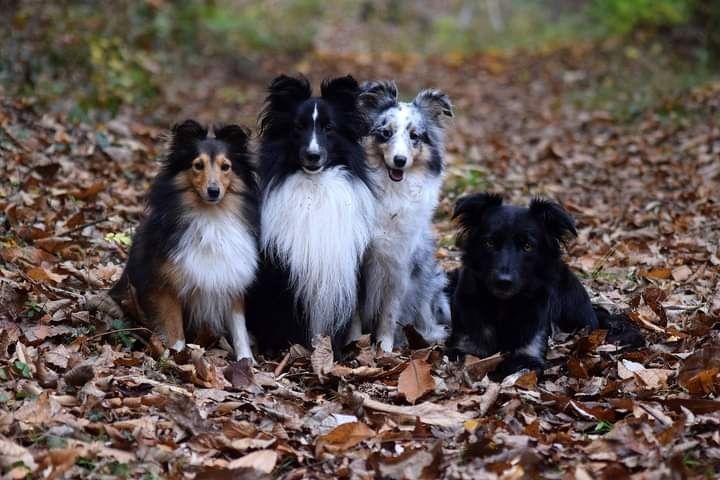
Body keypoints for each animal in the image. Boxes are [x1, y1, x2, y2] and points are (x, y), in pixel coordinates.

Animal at [450, 192, 640, 378]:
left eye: (527, 246)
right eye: (489, 243)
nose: (503, 282)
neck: (504, 306)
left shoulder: (529, 351)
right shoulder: (466, 347)